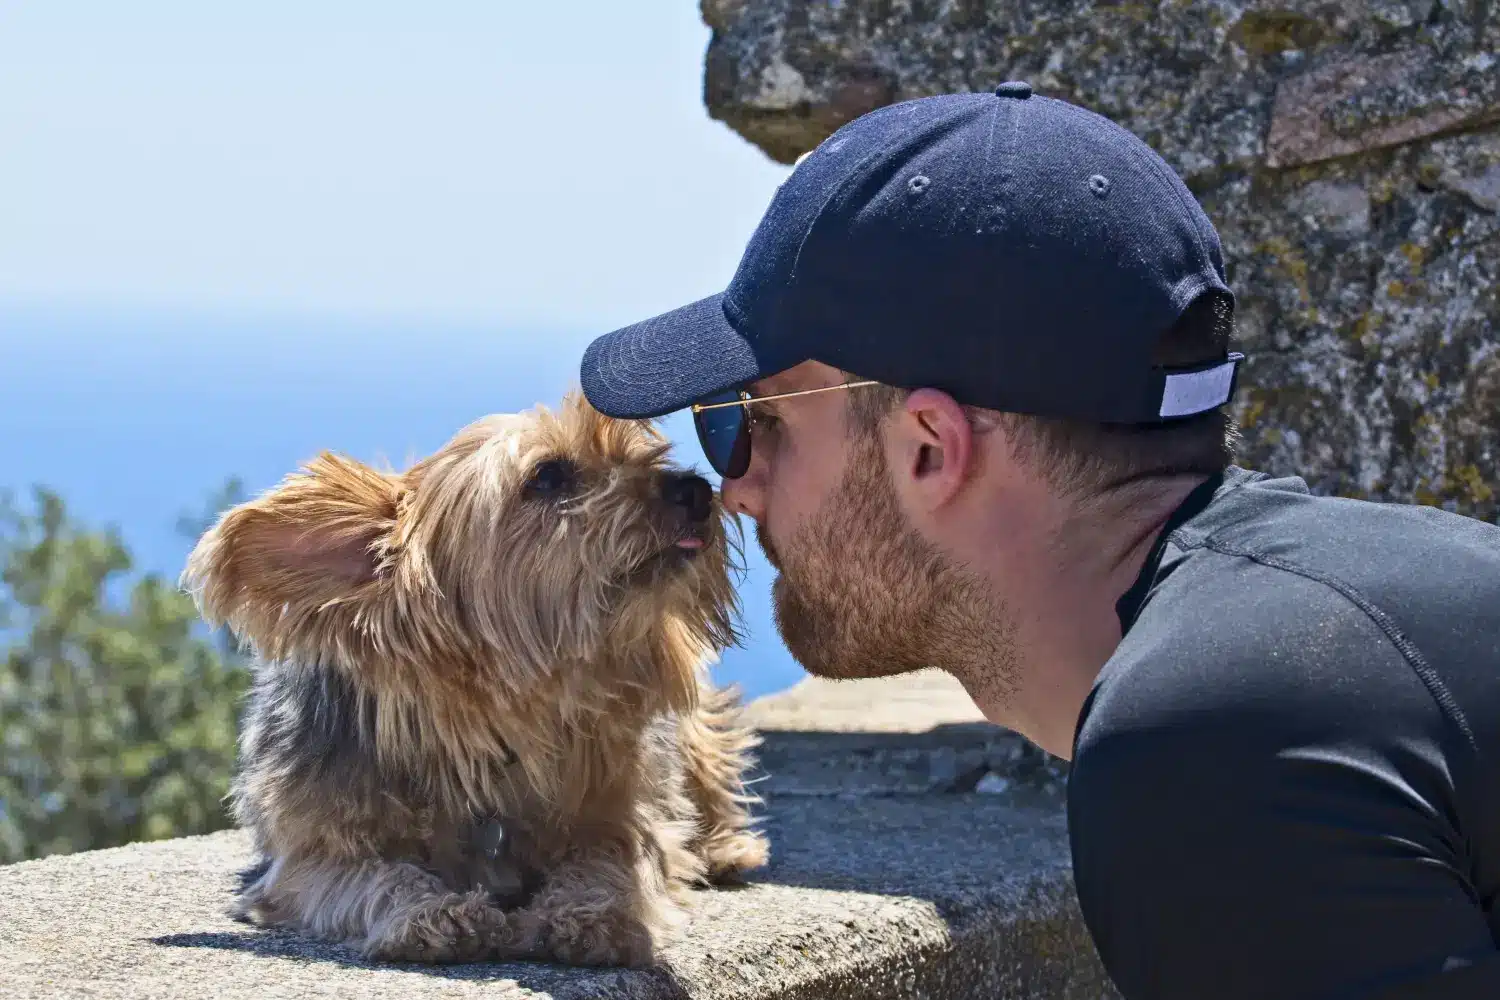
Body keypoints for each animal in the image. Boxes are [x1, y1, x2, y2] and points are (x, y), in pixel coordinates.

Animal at [184, 392, 774, 971]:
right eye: (548, 476)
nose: (695, 488)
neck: (501, 718)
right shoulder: (309, 851)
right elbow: (371, 876)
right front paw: (432, 914)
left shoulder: (620, 807)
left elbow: (613, 859)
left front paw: (594, 914)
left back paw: (723, 847)